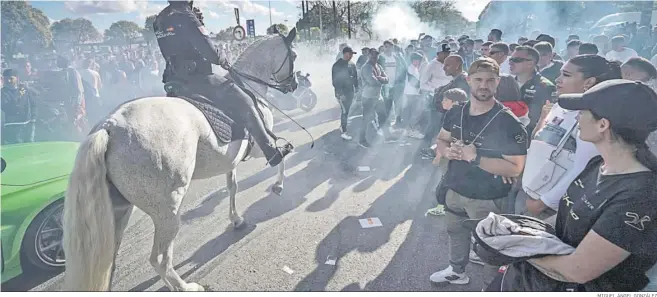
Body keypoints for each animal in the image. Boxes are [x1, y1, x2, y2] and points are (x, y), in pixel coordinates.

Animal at [61, 27, 298, 290]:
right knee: (160, 259)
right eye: (294, 55)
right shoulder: (257, 146)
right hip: (168, 210)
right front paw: (278, 185)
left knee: (109, 262)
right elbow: (280, 157)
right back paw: (186, 287)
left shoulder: (231, 159)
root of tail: (109, 126)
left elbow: (232, 187)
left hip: (118, 212)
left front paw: (236, 219)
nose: (294, 84)